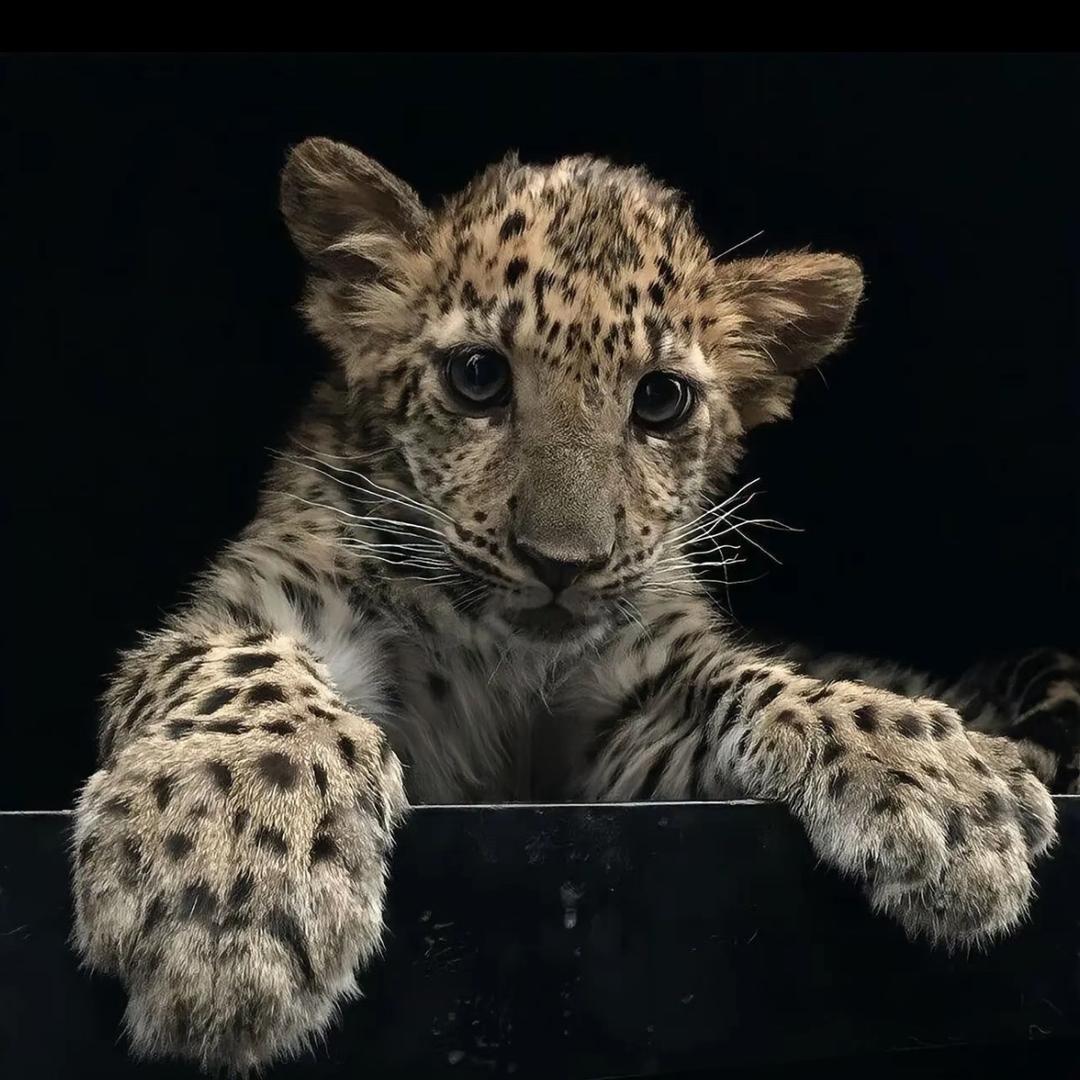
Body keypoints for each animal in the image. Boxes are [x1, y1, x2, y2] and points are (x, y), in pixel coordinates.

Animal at [71, 137, 1080, 1073]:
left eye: (662, 400)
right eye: (478, 376)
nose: (563, 563)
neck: (499, 652)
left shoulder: (612, 738)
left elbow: (745, 680)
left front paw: (943, 782)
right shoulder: (263, 599)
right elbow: (249, 669)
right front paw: (228, 881)